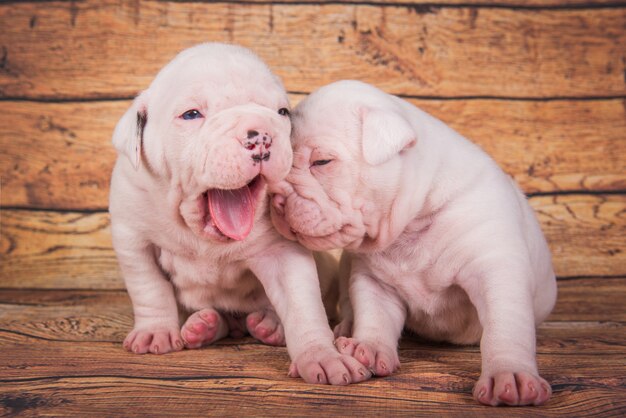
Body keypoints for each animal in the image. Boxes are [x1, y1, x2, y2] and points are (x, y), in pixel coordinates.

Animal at [109, 45, 368, 386]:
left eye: (282, 113)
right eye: (191, 114)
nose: (261, 136)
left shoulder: (283, 253)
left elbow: (303, 306)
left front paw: (322, 356)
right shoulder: (134, 239)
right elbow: (149, 288)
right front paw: (155, 332)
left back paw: (269, 326)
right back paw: (203, 326)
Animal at [268, 80, 556, 404]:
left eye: (322, 162)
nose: (275, 197)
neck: (411, 223)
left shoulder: (496, 269)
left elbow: (504, 327)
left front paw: (510, 376)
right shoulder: (373, 280)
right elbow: (375, 314)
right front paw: (369, 347)